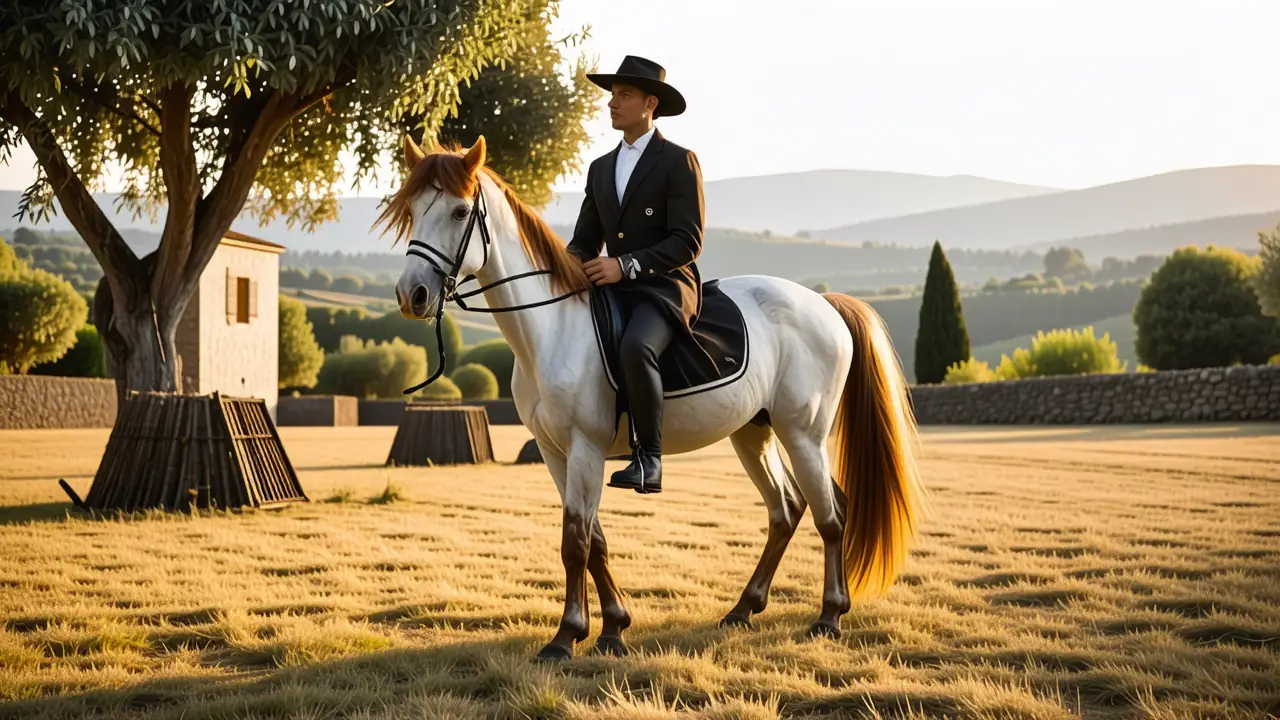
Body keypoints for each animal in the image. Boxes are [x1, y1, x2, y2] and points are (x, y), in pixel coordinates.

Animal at [381, 134, 925, 661]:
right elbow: (594, 540)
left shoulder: (585, 447)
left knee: (830, 516)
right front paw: (612, 629)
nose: (413, 296)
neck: (551, 329)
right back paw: (743, 609)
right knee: (786, 510)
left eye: (458, 212)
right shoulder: (557, 454)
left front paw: (565, 637)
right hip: (755, 432)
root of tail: (824, 304)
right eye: (413, 211)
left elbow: (575, 543)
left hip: (803, 433)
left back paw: (829, 616)